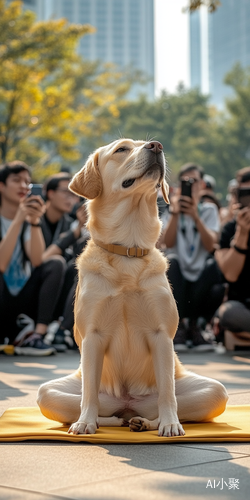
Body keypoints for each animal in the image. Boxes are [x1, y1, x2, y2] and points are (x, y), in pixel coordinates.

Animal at [37, 139, 229, 436]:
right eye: (121, 149)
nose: (157, 146)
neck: (128, 250)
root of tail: (128, 403)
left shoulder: (161, 334)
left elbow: (168, 392)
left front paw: (170, 424)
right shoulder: (93, 334)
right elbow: (88, 393)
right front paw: (85, 423)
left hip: (212, 390)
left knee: (182, 399)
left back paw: (145, 422)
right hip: (51, 393)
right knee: (86, 403)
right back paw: (112, 421)